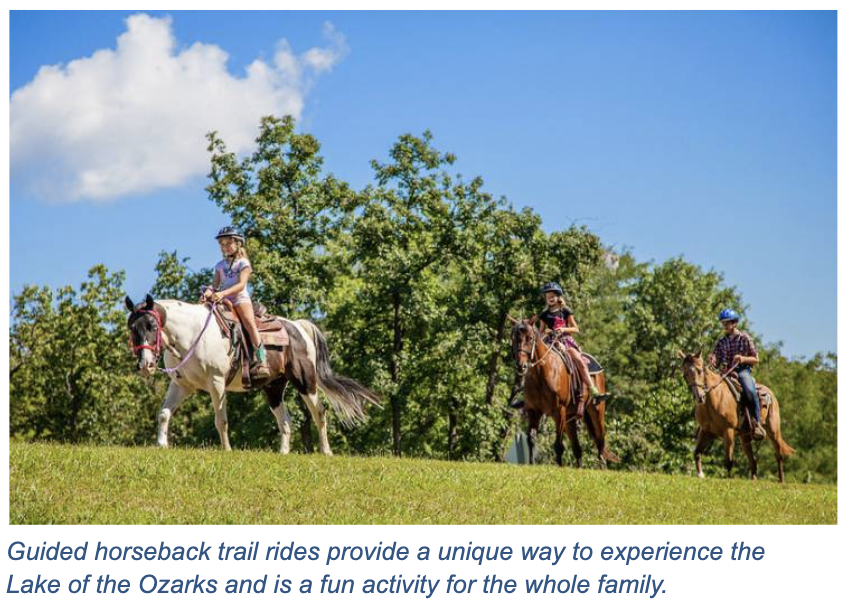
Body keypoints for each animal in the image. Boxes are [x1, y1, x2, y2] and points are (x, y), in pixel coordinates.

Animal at [124, 294, 380, 452]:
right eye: (132, 329)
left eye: (152, 327)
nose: (145, 365)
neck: (192, 335)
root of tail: (298, 326)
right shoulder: (181, 385)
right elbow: (163, 413)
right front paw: (161, 444)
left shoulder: (217, 383)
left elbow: (221, 420)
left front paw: (227, 449)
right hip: (274, 388)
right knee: (285, 421)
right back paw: (283, 452)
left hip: (305, 382)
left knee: (319, 413)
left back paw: (326, 451)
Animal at [510, 318, 624, 466]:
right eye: (513, 338)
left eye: (530, 338)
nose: (521, 365)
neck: (542, 373)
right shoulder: (533, 411)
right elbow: (531, 439)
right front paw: (531, 463)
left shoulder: (559, 411)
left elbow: (558, 445)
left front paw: (559, 466)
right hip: (571, 418)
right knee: (578, 449)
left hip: (596, 411)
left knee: (600, 443)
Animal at [680, 352, 800, 480]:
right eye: (685, 375)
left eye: (699, 371)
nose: (699, 397)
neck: (714, 398)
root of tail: (770, 393)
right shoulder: (706, 431)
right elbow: (697, 452)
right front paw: (700, 474)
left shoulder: (728, 431)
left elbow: (728, 460)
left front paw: (728, 479)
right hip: (744, 436)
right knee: (753, 461)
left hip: (773, 430)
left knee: (779, 455)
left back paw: (781, 480)